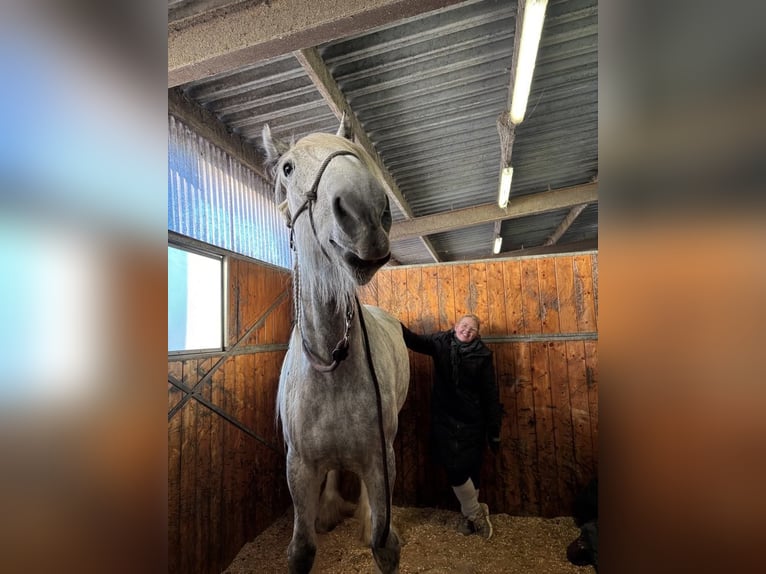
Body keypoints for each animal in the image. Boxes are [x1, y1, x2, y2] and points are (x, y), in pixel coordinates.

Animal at [264, 118, 412, 574]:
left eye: (353, 151)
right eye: (288, 167)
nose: (366, 211)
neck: (331, 362)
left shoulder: (380, 458)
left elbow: (384, 543)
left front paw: (368, 525)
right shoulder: (298, 466)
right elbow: (301, 549)